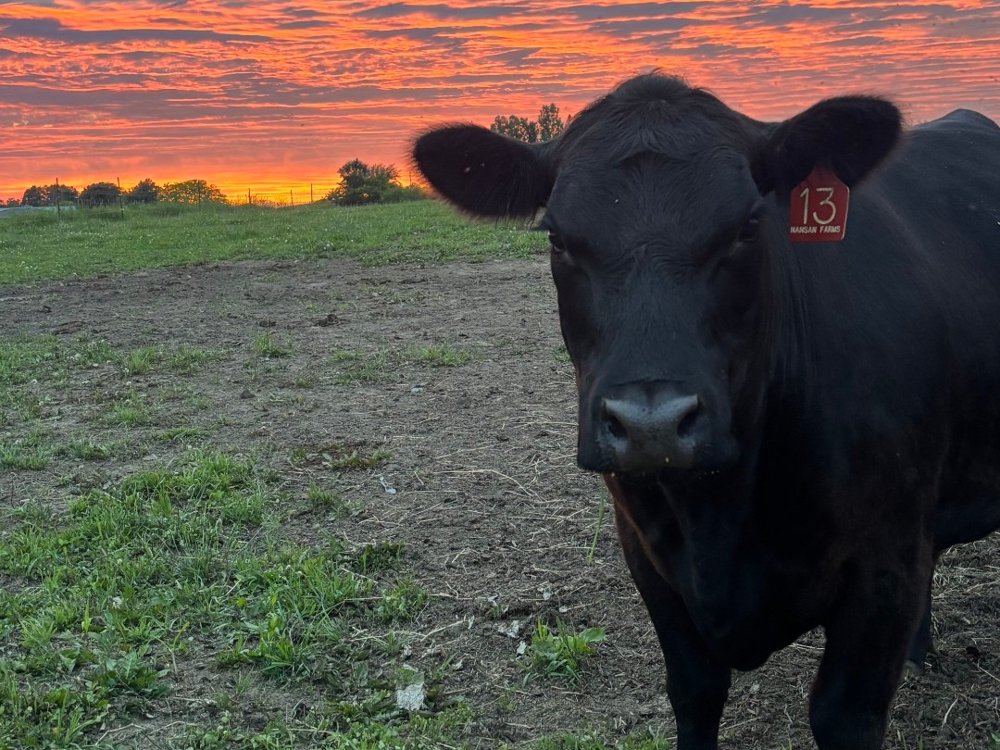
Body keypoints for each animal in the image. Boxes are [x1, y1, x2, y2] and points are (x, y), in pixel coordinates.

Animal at [411, 74, 1000, 750]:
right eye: (557, 237)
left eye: (748, 225)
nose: (653, 425)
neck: (723, 517)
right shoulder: (648, 554)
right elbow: (694, 691)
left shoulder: (885, 561)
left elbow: (842, 715)